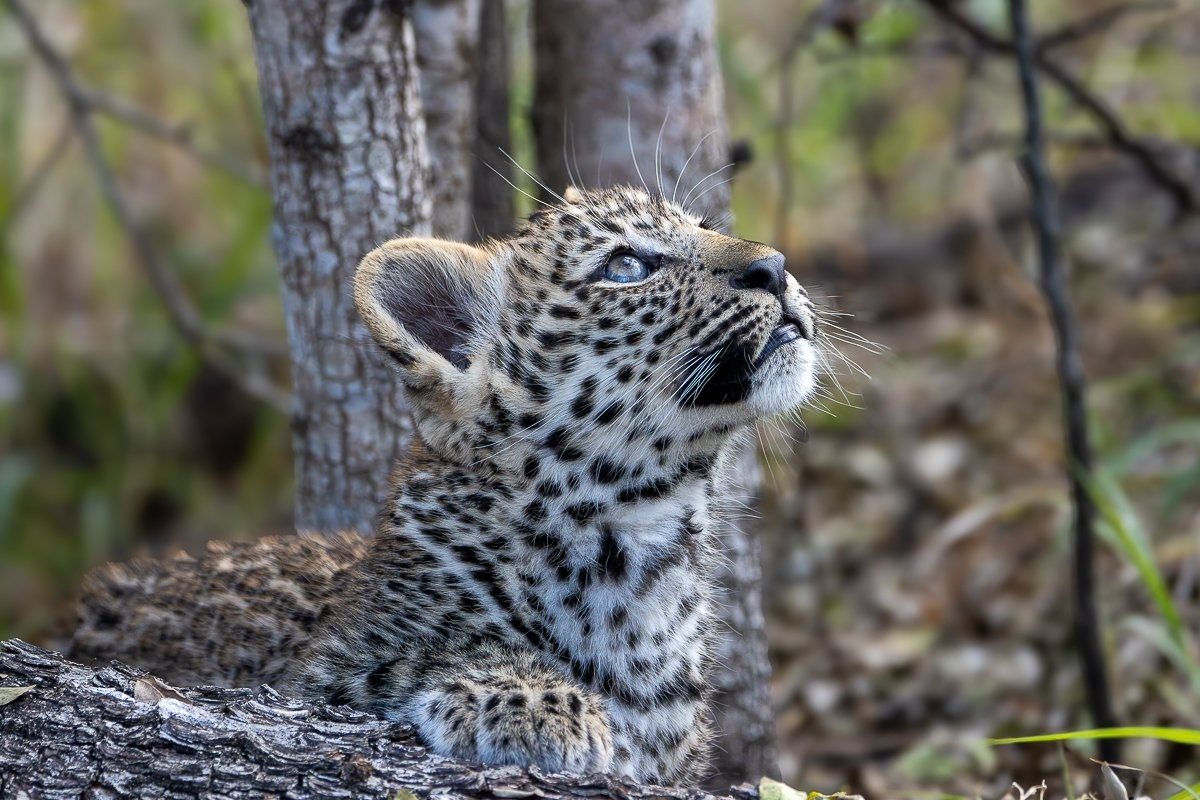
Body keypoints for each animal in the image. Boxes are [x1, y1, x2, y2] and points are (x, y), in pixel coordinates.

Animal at [71, 184, 821, 787]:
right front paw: (533, 700)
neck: (636, 544)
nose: (776, 267)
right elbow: (415, 660)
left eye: (702, 224)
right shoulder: (317, 677)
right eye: (626, 266)